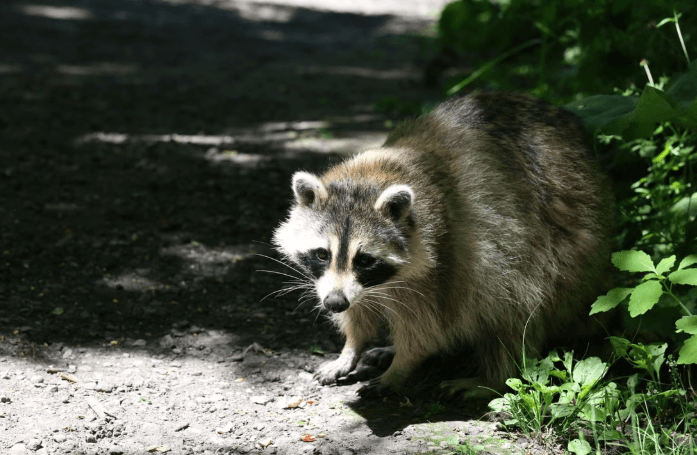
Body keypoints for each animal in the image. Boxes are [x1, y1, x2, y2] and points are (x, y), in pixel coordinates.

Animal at [273, 90, 614, 397]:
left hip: (564, 253)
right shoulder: (354, 284)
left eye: (365, 259)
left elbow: (432, 326)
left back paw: (493, 377)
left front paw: (402, 365)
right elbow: (359, 310)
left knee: (515, 301)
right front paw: (351, 347)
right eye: (321, 254)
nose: (334, 303)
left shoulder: (452, 254)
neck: (372, 175)